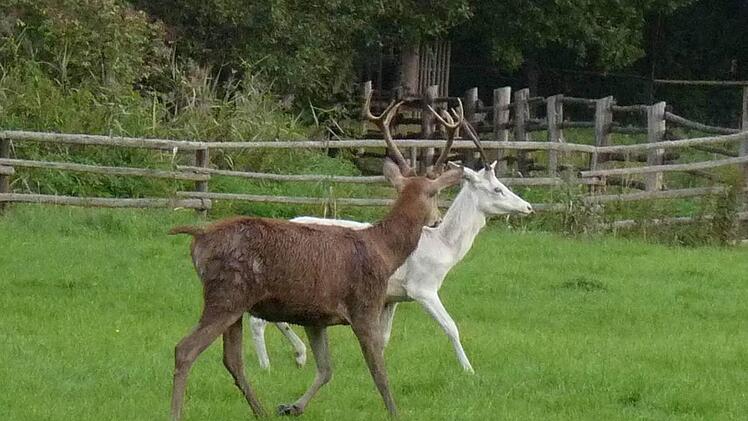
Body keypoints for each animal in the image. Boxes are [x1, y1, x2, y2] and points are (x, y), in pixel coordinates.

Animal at [168, 93, 466, 419]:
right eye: (435, 195)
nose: (437, 220)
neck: (385, 252)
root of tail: (199, 237)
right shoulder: (364, 305)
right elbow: (379, 373)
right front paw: (395, 413)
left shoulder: (315, 316)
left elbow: (325, 369)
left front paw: (292, 406)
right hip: (228, 292)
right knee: (185, 349)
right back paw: (177, 412)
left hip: (234, 301)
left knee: (232, 359)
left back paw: (262, 411)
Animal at [248, 111, 534, 374]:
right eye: (497, 189)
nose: (528, 207)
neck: (442, 247)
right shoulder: (422, 287)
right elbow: (451, 326)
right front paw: (468, 370)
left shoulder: (392, 297)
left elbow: (384, 338)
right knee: (258, 320)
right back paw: (266, 365)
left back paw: (298, 355)